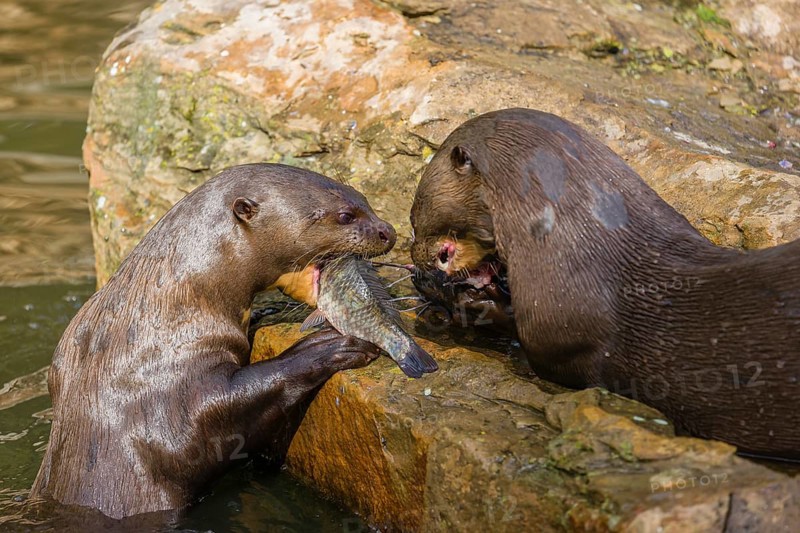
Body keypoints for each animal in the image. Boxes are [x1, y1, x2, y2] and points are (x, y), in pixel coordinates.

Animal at [31, 163, 397, 519]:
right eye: (345, 215)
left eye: (363, 198)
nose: (388, 231)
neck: (174, 306)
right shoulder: (168, 386)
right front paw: (328, 347)